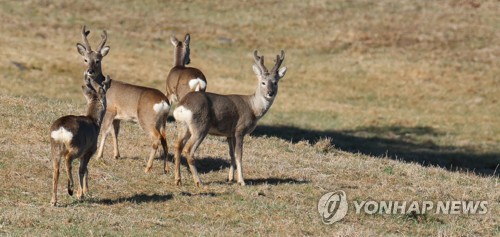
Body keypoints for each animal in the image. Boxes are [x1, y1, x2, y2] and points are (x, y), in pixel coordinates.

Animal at [49, 76, 110, 206]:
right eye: (104, 90)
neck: (95, 122)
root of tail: (61, 129)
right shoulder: (89, 150)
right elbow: (82, 169)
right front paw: (80, 195)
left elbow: (85, 169)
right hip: (76, 146)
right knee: (68, 160)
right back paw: (70, 188)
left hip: (55, 147)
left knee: (56, 170)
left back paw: (53, 200)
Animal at [75, 25, 170, 173]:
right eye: (85, 59)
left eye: (98, 60)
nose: (90, 71)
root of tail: (163, 101)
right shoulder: (117, 117)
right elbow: (115, 133)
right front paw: (116, 155)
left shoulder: (110, 110)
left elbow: (105, 131)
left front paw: (99, 156)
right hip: (162, 121)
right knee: (165, 139)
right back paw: (166, 169)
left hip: (146, 119)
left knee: (156, 139)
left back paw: (147, 168)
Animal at [173, 49, 288, 187]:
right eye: (263, 82)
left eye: (275, 82)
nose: (270, 93)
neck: (253, 108)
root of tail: (182, 106)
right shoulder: (239, 130)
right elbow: (239, 155)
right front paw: (241, 181)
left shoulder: (229, 134)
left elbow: (231, 155)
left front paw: (230, 178)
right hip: (200, 127)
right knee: (188, 150)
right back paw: (199, 182)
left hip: (183, 126)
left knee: (177, 146)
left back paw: (178, 180)